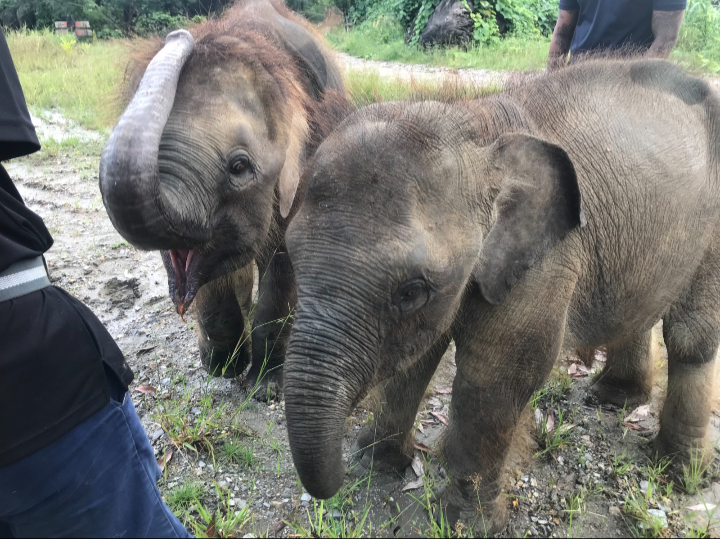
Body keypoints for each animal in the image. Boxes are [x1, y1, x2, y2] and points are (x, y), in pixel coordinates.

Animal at [282, 58, 720, 535]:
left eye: (411, 291)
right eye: (291, 257)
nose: (335, 482)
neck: (477, 127)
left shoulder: (546, 264)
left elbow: (493, 378)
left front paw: (466, 523)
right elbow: (419, 355)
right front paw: (379, 463)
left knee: (691, 336)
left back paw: (680, 473)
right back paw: (615, 399)